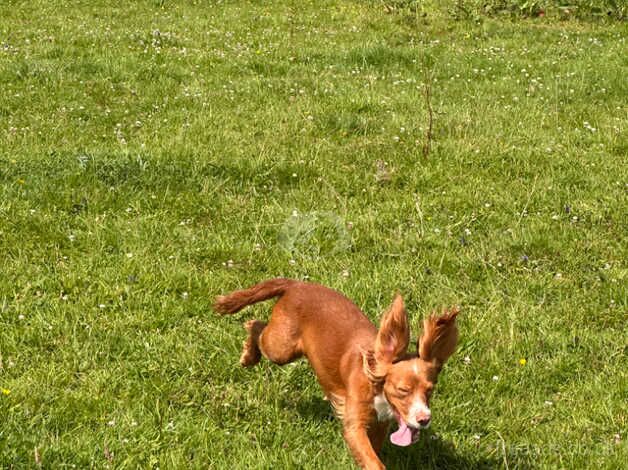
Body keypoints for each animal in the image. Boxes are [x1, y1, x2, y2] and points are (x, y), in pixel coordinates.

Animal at [213, 278, 458, 468]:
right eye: (403, 390)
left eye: (429, 391)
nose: (424, 420)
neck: (374, 381)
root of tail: (296, 284)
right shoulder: (354, 424)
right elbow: (373, 460)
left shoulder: (380, 423)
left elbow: (373, 451)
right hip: (280, 348)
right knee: (256, 325)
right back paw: (249, 356)